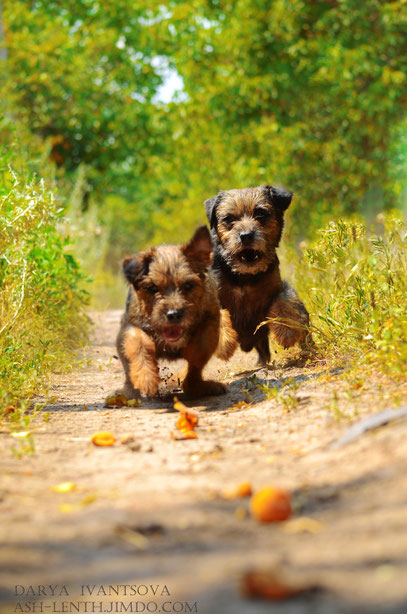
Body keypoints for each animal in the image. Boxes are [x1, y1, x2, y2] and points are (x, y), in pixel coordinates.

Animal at [116, 226, 236, 400]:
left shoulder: (211, 317)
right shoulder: (129, 326)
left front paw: (192, 356)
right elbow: (139, 342)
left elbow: (200, 348)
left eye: (188, 286)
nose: (173, 314)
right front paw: (147, 378)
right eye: (152, 288)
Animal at [206, 184, 310, 366]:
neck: (244, 276)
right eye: (229, 219)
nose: (246, 235)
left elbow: (282, 302)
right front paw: (224, 343)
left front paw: (287, 332)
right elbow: (219, 314)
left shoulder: (278, 289)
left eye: (260, 213)